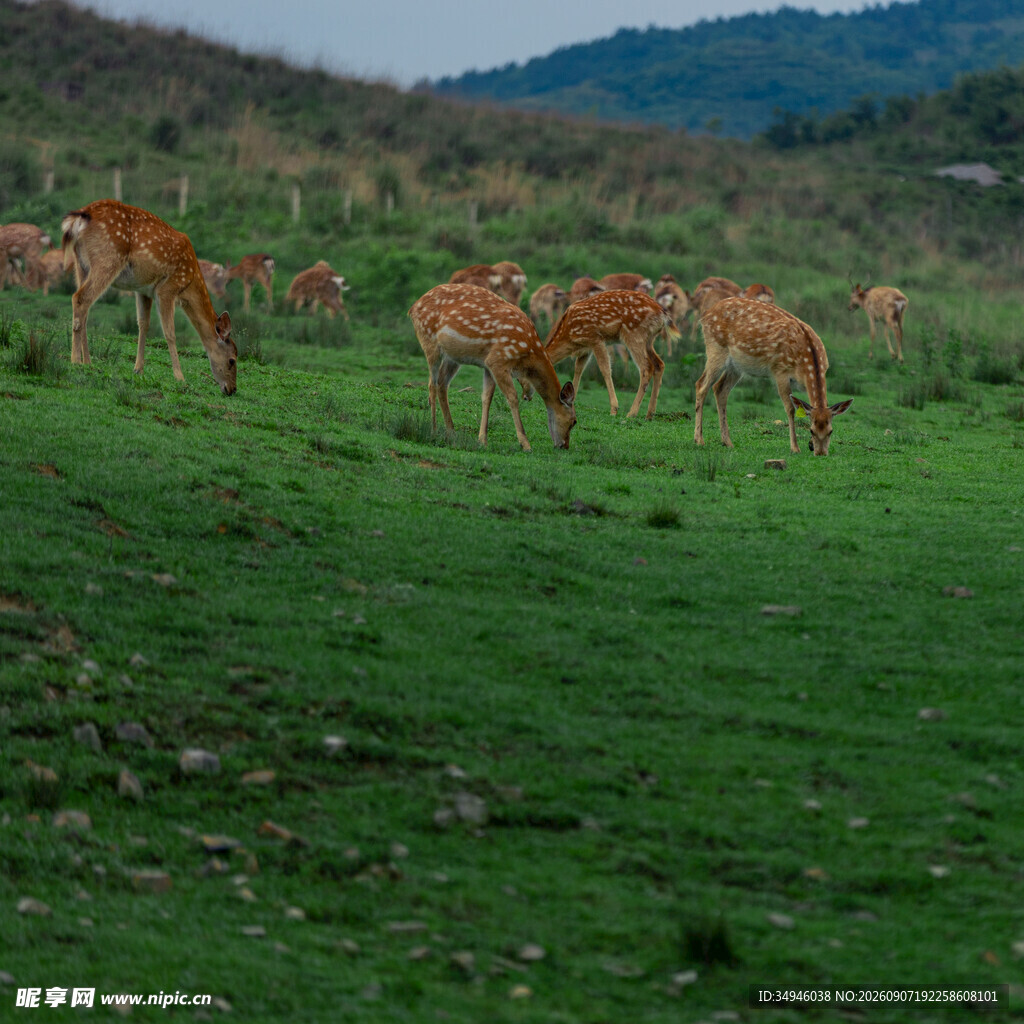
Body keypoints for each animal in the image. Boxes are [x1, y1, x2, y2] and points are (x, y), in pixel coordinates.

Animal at [61, 199, 237, 395]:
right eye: (232, 360)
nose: (232, 389)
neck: (189, 282)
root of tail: (80, 217)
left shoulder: (143, 290)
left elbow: (143, 325)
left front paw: (138, 369)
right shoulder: (167, 288)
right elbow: (170, 332)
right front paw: (180, 377)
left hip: (81, 265)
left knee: (85, 306)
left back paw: (88, 361)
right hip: (107, 258)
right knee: (79, 298)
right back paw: (75, 360)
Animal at [408, 283, 576, 452]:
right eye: (574, 421)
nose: (564, 446)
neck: (528, 353)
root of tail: (412, 308)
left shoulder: (488, 365)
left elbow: (487, 397)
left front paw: (482, 440)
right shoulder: (498, 360)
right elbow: (512, 397)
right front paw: (525, 444)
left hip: (453, 357)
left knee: (443, 384)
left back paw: (452, 432)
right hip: (429, 342)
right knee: (432, 384)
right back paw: (434, 430)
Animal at [545, 290, 675, 420]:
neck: (568, 335)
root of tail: (663, 315)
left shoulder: (595, 339)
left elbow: (605, 369)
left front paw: (614, 409)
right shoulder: (586, 347)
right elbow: (578, 369)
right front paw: (572, 401)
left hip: (633, 334)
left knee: (646, 367)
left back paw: (632, 413)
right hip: (649, 340)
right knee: (659, 364)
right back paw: (649, 414)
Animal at [695, 297, 852, 456]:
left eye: (830, 431)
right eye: (811, 430)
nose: (820, 453)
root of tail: (705, 315)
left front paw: (808, 445)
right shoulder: (780, 371)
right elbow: (790, 408)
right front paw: (795, 448)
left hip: (736, 366)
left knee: (720, 389)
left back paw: (727, 442)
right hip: (716, 348)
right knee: (701, 385)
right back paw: (699, 440)